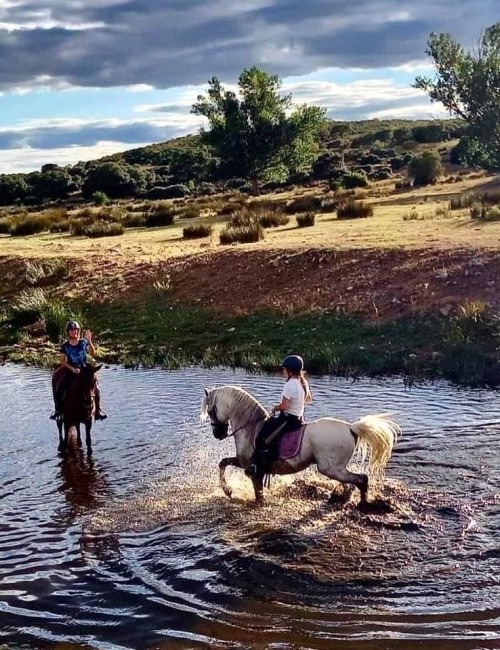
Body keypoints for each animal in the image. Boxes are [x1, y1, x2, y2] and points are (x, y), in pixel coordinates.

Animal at [201, 384, 400, 506]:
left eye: (211, 411)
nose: (218, 434)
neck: (252, 426)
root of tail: (351, 428)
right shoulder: (243, 462)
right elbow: (223, 462)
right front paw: (228, 491)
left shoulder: (254, 470)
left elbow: (258, 496)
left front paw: (230, 491)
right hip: (336, 468)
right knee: (354, 480)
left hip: (330, 468)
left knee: (361, 479)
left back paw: (363, 503)